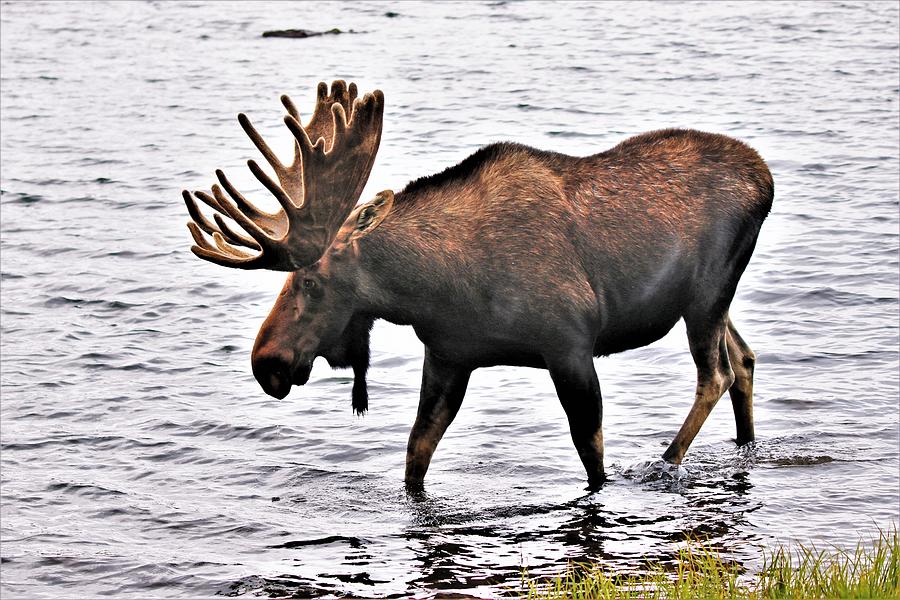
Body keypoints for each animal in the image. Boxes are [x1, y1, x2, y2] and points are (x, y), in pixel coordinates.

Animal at [181, 81, 772, 488]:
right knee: (743, 359)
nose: (266, 362)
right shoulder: (448, 355)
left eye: (310, 280)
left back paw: (665, 461)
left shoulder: (570, 346)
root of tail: (766, 179)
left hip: (706, 294)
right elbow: (415, 457)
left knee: (716, 373)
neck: (434, 288)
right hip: (711, 298)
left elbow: (592, 459)